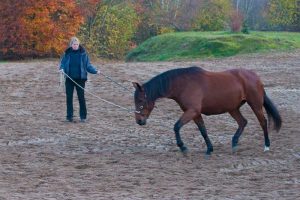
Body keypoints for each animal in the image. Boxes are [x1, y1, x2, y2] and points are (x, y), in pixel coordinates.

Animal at [132, 66, 282, 155]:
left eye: (140, 100)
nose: (139, 121)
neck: (183, 84)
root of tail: (255, 77)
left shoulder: (192, 111)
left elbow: (176, 126)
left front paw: (183, 147)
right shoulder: (195, 114)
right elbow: (203, 131)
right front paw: (209, 149)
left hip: (255, 104)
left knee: (263, 122)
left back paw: (266, 146)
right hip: (232, 108)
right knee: (242, 122)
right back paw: (234, 143)